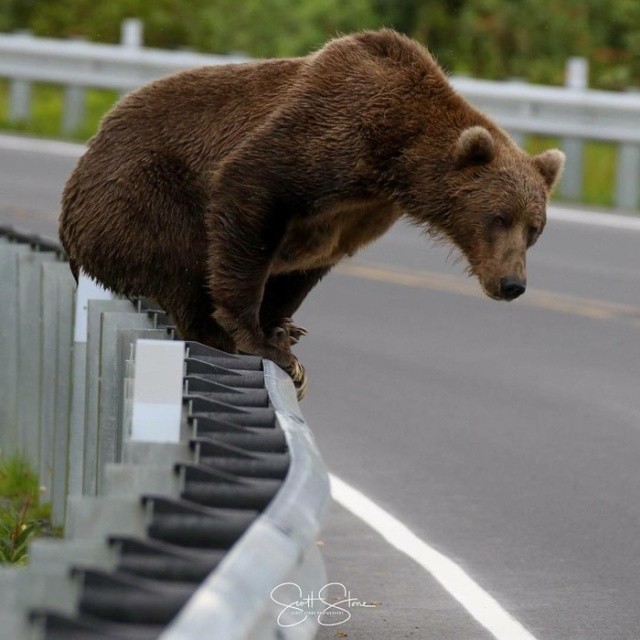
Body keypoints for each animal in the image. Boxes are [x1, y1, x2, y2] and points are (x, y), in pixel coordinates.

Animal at [57, 31, 564, 400]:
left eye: (534, 229)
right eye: (499, 217)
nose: (512, 283)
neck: (393, 161)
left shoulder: (357, 213)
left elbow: (309, 263)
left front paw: (281, 328)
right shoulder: (325, 135)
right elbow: (249, 189)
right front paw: (262, 343)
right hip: (136, 194)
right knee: (177, 257)